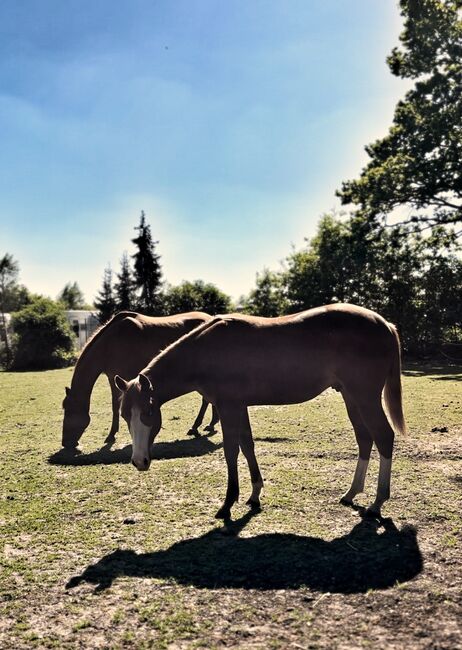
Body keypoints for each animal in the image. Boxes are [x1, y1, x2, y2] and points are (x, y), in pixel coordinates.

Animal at [61, 308, 220, 446]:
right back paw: (210, 424)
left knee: (205, 400)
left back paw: (196, 426)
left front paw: (113, 435)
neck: (110, 342)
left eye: (69, 410)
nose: (65, 443)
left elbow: (119, 406)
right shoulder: (115, 378)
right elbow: (117, 406)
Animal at [113, 302, 406, 520]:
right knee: (365, 439)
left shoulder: (228, 407)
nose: (139, 461)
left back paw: (378, 502)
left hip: (365, 398)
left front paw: (227, 504)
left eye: (149, 412)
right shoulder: (238, 406)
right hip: (351, 398)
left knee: (384, 437)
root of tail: (386, 325)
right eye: (126, 415)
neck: (207, 351)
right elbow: (248, 446)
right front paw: (254, 494)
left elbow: (231, 451)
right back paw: (352, 492)